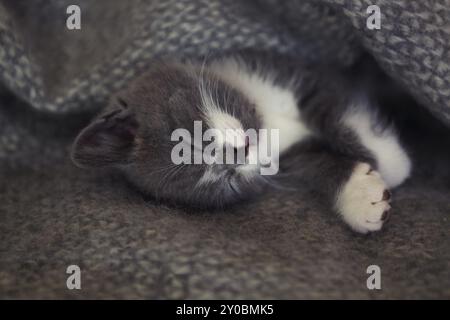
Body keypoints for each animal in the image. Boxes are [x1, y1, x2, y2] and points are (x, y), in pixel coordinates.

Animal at [72, 52, 414, 232]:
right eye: (225, 178)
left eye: (186, 132)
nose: (239, 152)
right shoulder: (286, 158)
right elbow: (315, 163)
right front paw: (361, 196)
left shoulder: (307, 74)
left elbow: (333, 110)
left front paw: (390, 159)